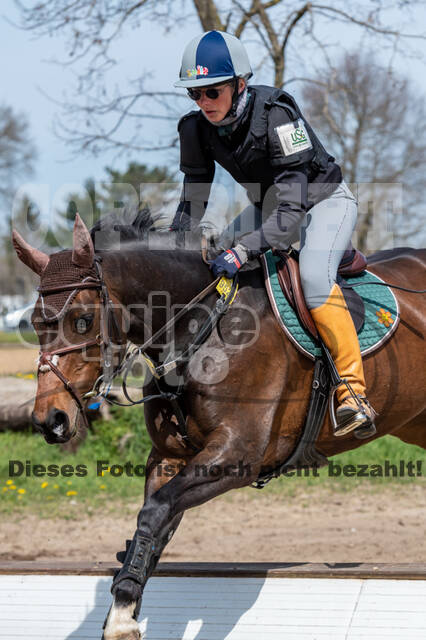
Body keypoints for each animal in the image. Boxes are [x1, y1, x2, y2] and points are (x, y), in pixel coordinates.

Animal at [11, 211, 424, 640]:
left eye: (83, 319)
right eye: (34, 323)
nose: (50, 420)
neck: (198, 326)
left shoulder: (237, 456)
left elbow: (155, 512)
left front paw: (123, 615)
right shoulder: (170, 457)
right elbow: (155, 524)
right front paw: (124, 607)